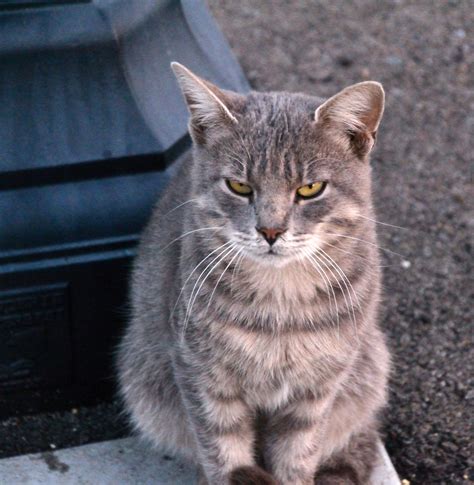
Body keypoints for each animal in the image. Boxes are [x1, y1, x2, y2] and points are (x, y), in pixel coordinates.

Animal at [117, 61, 388, 484]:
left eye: (310, 188)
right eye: (239, 185)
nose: (270, 230)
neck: (281, 300)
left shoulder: (315, 392)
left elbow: (297, 456)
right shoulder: (203, 378)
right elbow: (222, 451)